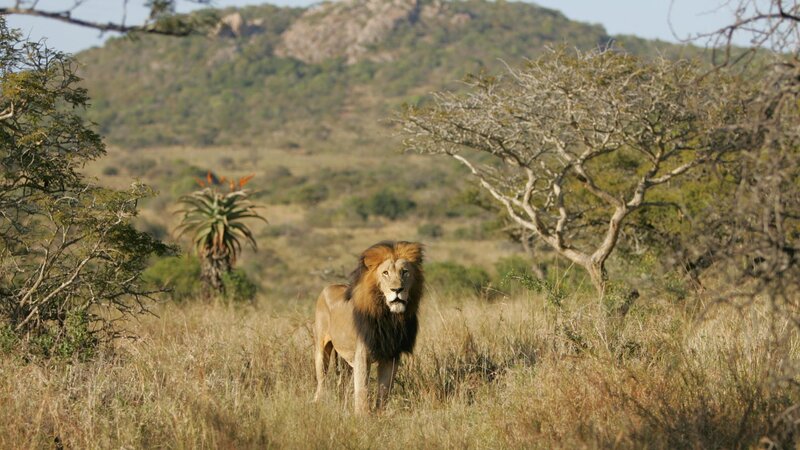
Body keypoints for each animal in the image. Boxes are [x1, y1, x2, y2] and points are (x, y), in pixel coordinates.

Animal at [313, 240, 424, 414]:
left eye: (405, 272)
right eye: (385, 273)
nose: (397, 290)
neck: (389, 318)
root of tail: (329, 287)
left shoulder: (391, 356)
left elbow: (384, 390)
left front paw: (380, 415)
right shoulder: (362, 355)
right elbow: (362, 390)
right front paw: (362, 416)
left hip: (346, 359)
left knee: (343, 385)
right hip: (321, 349)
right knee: (322, 382)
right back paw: (318, 405)